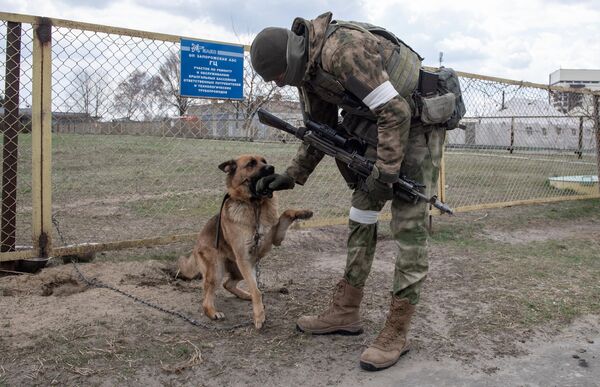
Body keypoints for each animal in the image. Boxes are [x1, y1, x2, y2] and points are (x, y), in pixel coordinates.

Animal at [176, 155, 312, 330]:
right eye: (251, 164)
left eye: (264, 160)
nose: (272, 168)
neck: (255, 204)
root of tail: (196, 245)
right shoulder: (245, 257)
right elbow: (256, 290)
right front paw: (259, 316)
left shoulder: (273, 240)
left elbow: (286, 213)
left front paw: (303, 212)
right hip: (219, 270)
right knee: (207, 298)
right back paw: (213, 312)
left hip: (241, 268)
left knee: (228, 284)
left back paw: (245, 295)